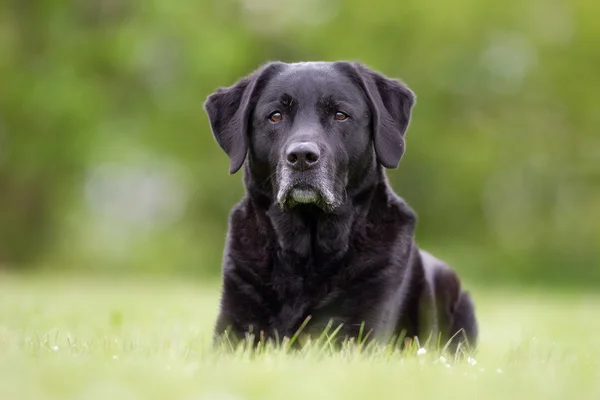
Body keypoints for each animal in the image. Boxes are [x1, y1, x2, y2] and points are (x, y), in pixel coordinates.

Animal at [205, 61, 478, 352]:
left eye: (340, 115)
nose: (302, 156)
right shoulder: (234, 332)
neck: (306, 253)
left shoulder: (358, 335)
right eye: (275, 116)